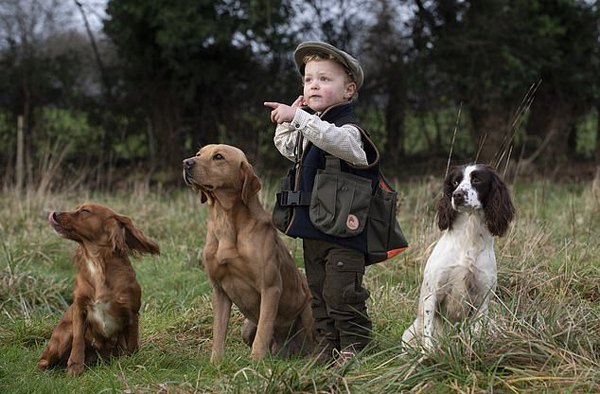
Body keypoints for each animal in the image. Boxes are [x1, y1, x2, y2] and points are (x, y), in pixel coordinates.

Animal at [37, 203, 159, 376]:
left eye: (85, 211)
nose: (54, 213)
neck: (97, 263)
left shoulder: (132, 313)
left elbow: (133, 344)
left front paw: (133, 362)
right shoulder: (80, 309)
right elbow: (78, 341)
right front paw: (74, 368)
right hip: (64, 333)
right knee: (42, 361)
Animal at [183, 143, 314, 362]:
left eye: (218, 157)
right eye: (199, 153)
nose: (186, 162)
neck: (226, 221)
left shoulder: (270, 288)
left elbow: (263, 331)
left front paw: (255, 362)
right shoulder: (219, 291)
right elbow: (219, 332)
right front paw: (215, 363)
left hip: (309, 311)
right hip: (246, 326)